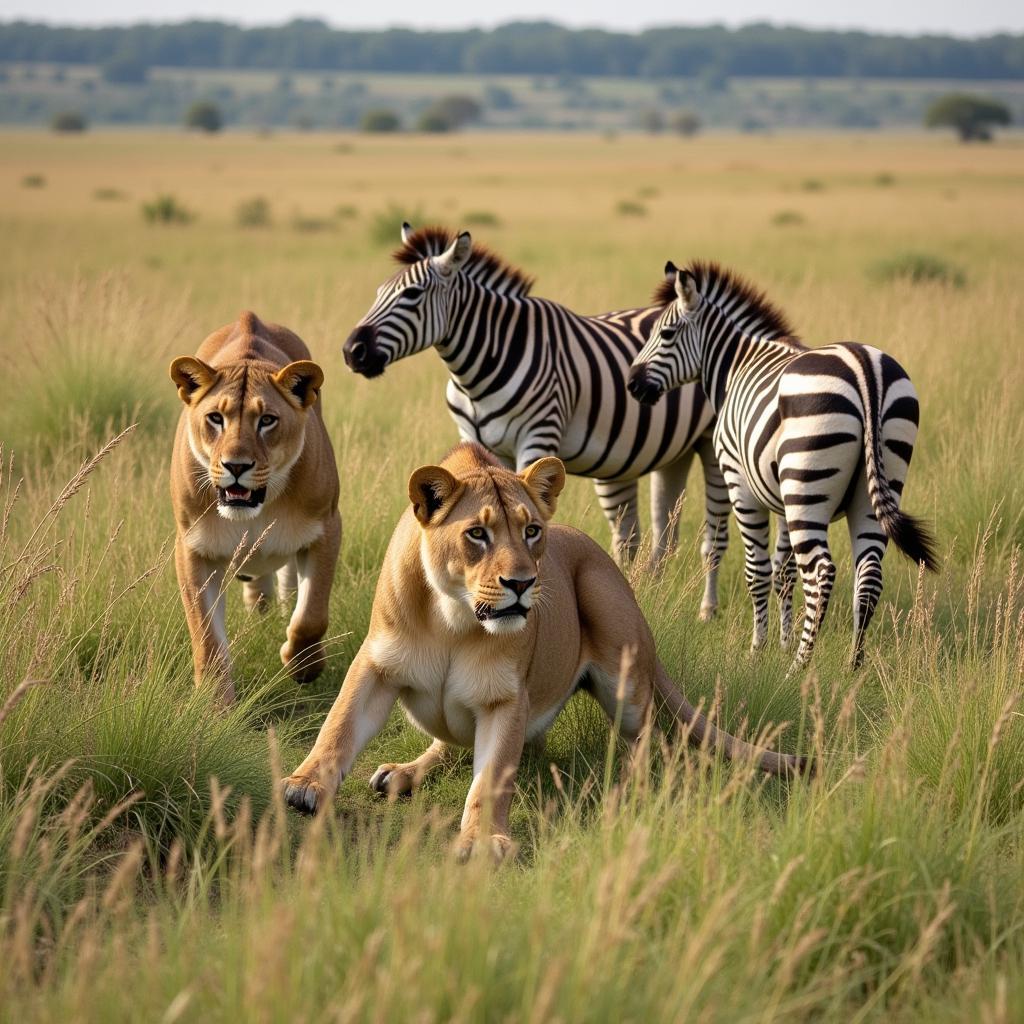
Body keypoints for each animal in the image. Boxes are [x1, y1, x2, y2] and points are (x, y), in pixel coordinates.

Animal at [622, 260, 937, 667]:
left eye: (666, 333)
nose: (631, 384)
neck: (735, 364)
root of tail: (866, 369)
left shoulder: (740, 483)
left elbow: (757, 571)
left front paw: (759, 649)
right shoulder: (782, 498)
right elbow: (784, 572)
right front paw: (783, 641)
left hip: (808, 488)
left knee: (821, 572)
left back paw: (799, 666)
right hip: (869, 488)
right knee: (867, 574)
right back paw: (852, 667)